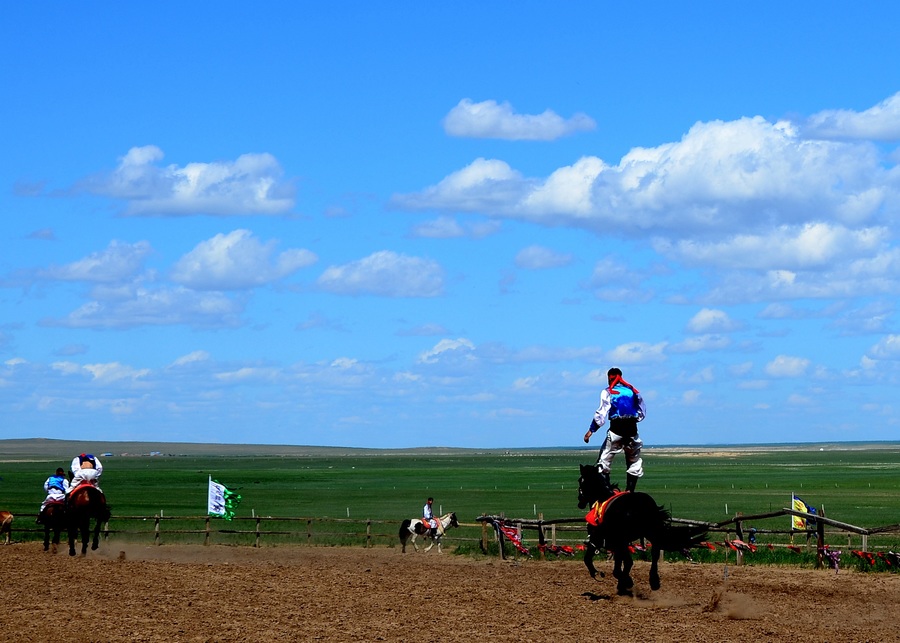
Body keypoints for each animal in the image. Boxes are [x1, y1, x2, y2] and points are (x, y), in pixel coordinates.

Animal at [580, 466, 708, 596]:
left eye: (581, 481)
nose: (580, 503)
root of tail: (641, 504)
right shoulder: (617, 544)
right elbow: (621, 563)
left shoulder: (599, 539)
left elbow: (589, 559)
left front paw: (600, 574)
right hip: (651, 532)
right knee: (655, 552)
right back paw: (653, 581)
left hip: (624, 538)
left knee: (630, 561)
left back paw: (629, 581)